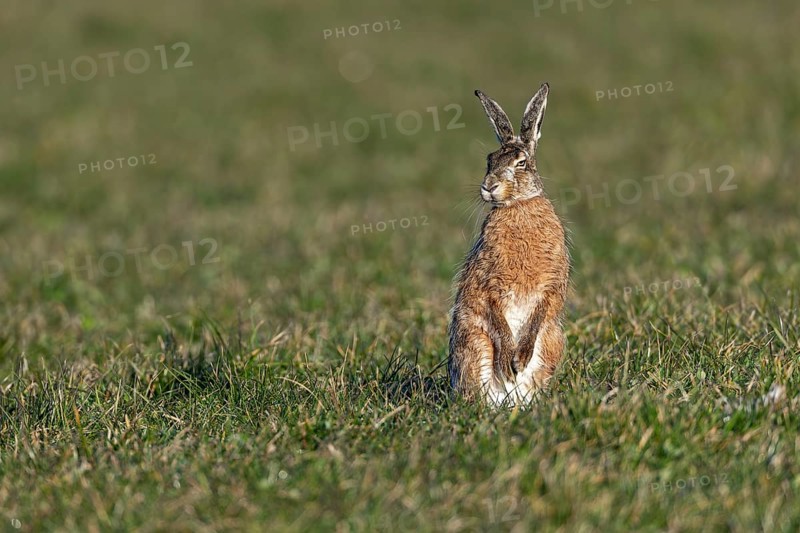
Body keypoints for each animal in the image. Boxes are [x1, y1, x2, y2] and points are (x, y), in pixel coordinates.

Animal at [448, 83, 570, 407]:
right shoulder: (488, 281)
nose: (489, 186)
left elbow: (541, 309)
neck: (517, 205)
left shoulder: (550, 283)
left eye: (521, 163)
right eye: (489, 160)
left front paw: (520, 359)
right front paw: (508, 361)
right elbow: (496, 316)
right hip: (474, 345)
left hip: (551, 342)